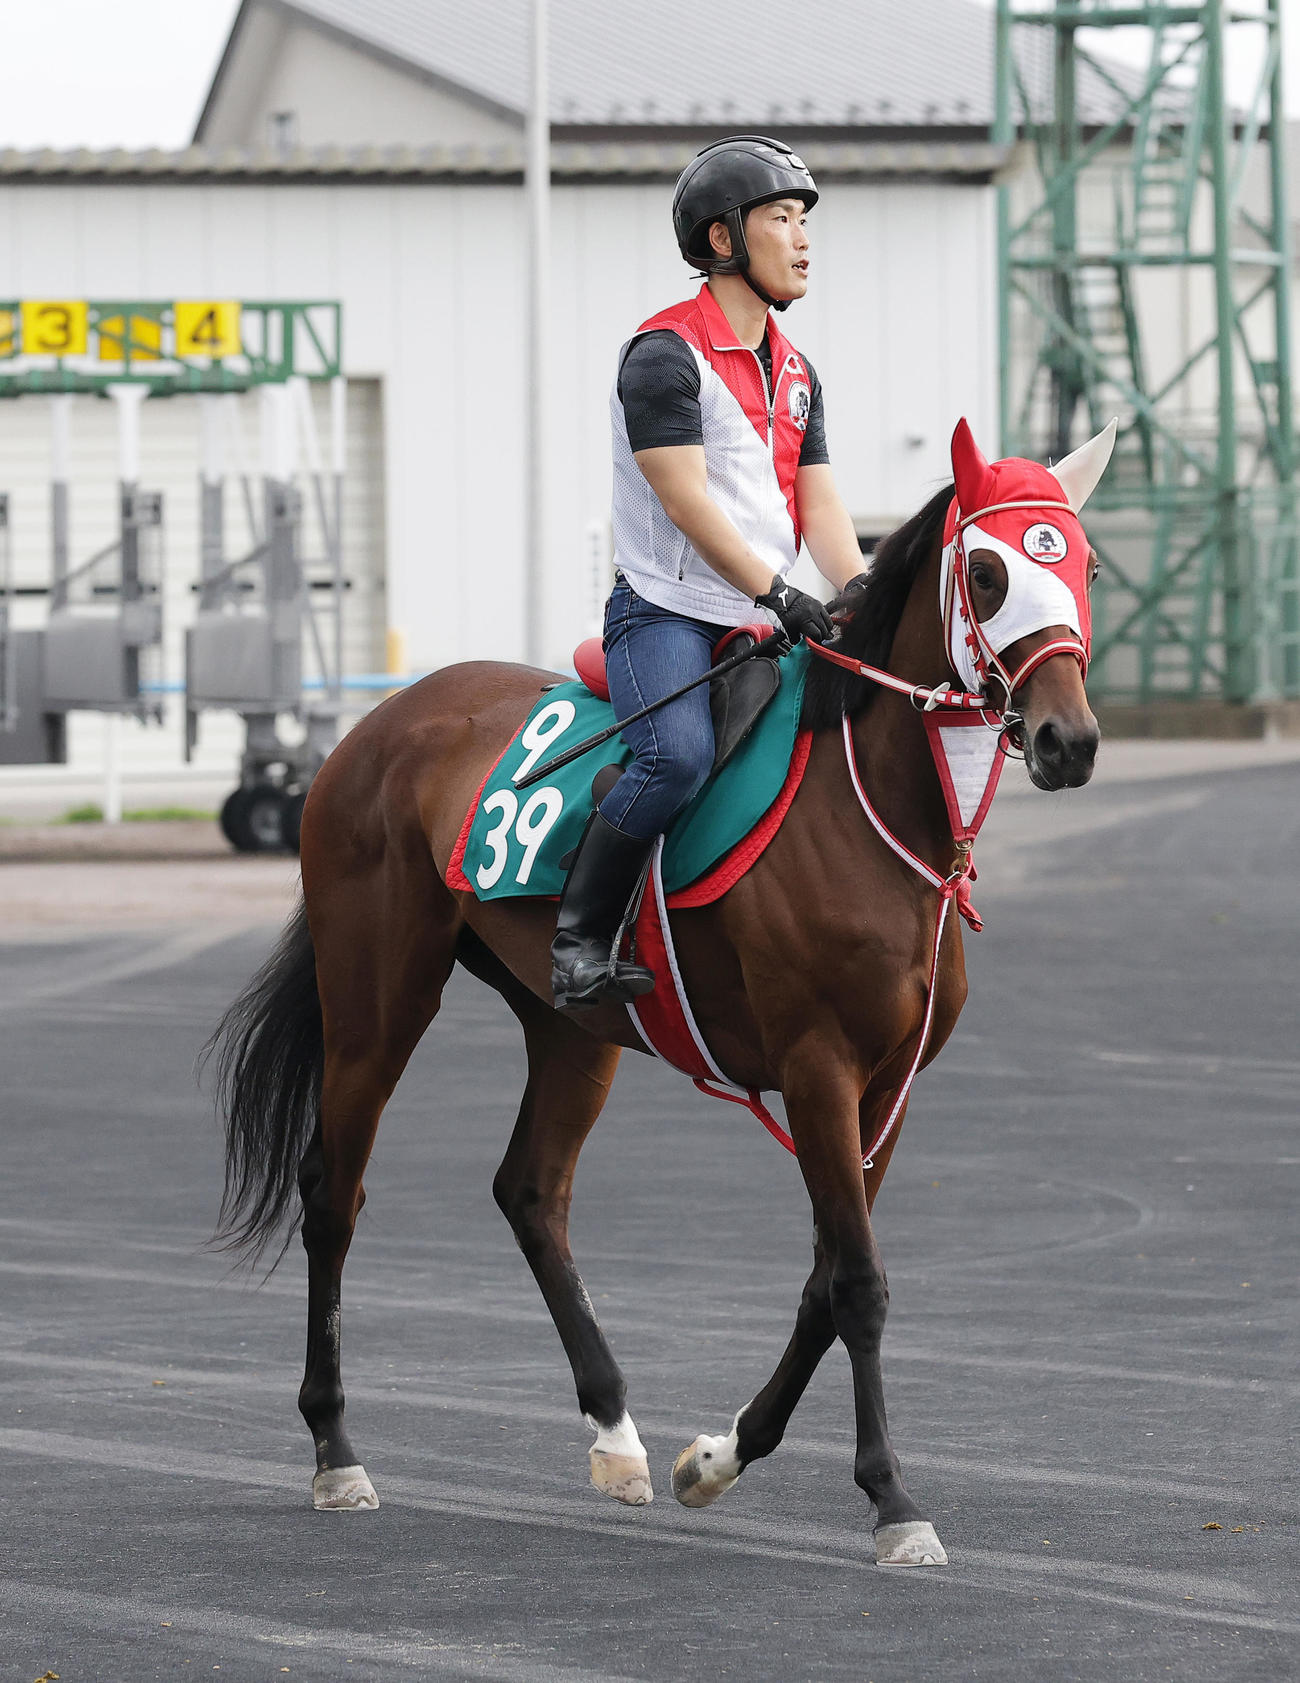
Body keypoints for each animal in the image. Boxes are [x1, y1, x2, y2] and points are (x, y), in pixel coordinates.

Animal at [208, 418, 1113, 1568]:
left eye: (1084, 565)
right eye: (988, 572)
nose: (1067, 741)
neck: (869, 809)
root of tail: (374, 728)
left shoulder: (886, 1087)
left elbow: (825, 1280)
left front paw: (718, 1456)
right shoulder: (819, 1066)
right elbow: (857, 1284)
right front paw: (893, 1501)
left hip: (572, 1023)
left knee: (531, 1192)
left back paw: (615, 1432)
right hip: (377, 998)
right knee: (334, 1194)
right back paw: (336, 1452)